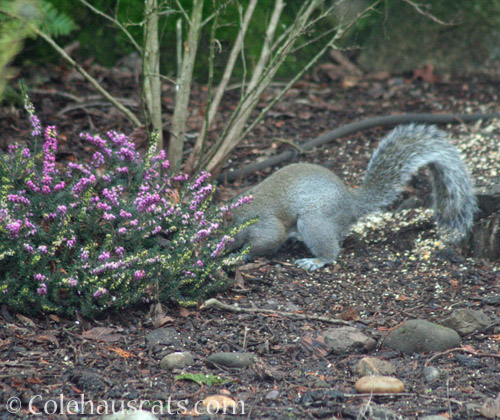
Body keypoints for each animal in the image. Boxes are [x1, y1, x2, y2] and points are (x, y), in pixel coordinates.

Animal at [232, 124, 478, 272]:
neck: (236, 217)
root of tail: (351, 203)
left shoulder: (264, 224)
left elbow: (268, 240)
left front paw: (240, 255)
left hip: (314, 222)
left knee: (331, 251)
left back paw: (315, 260)